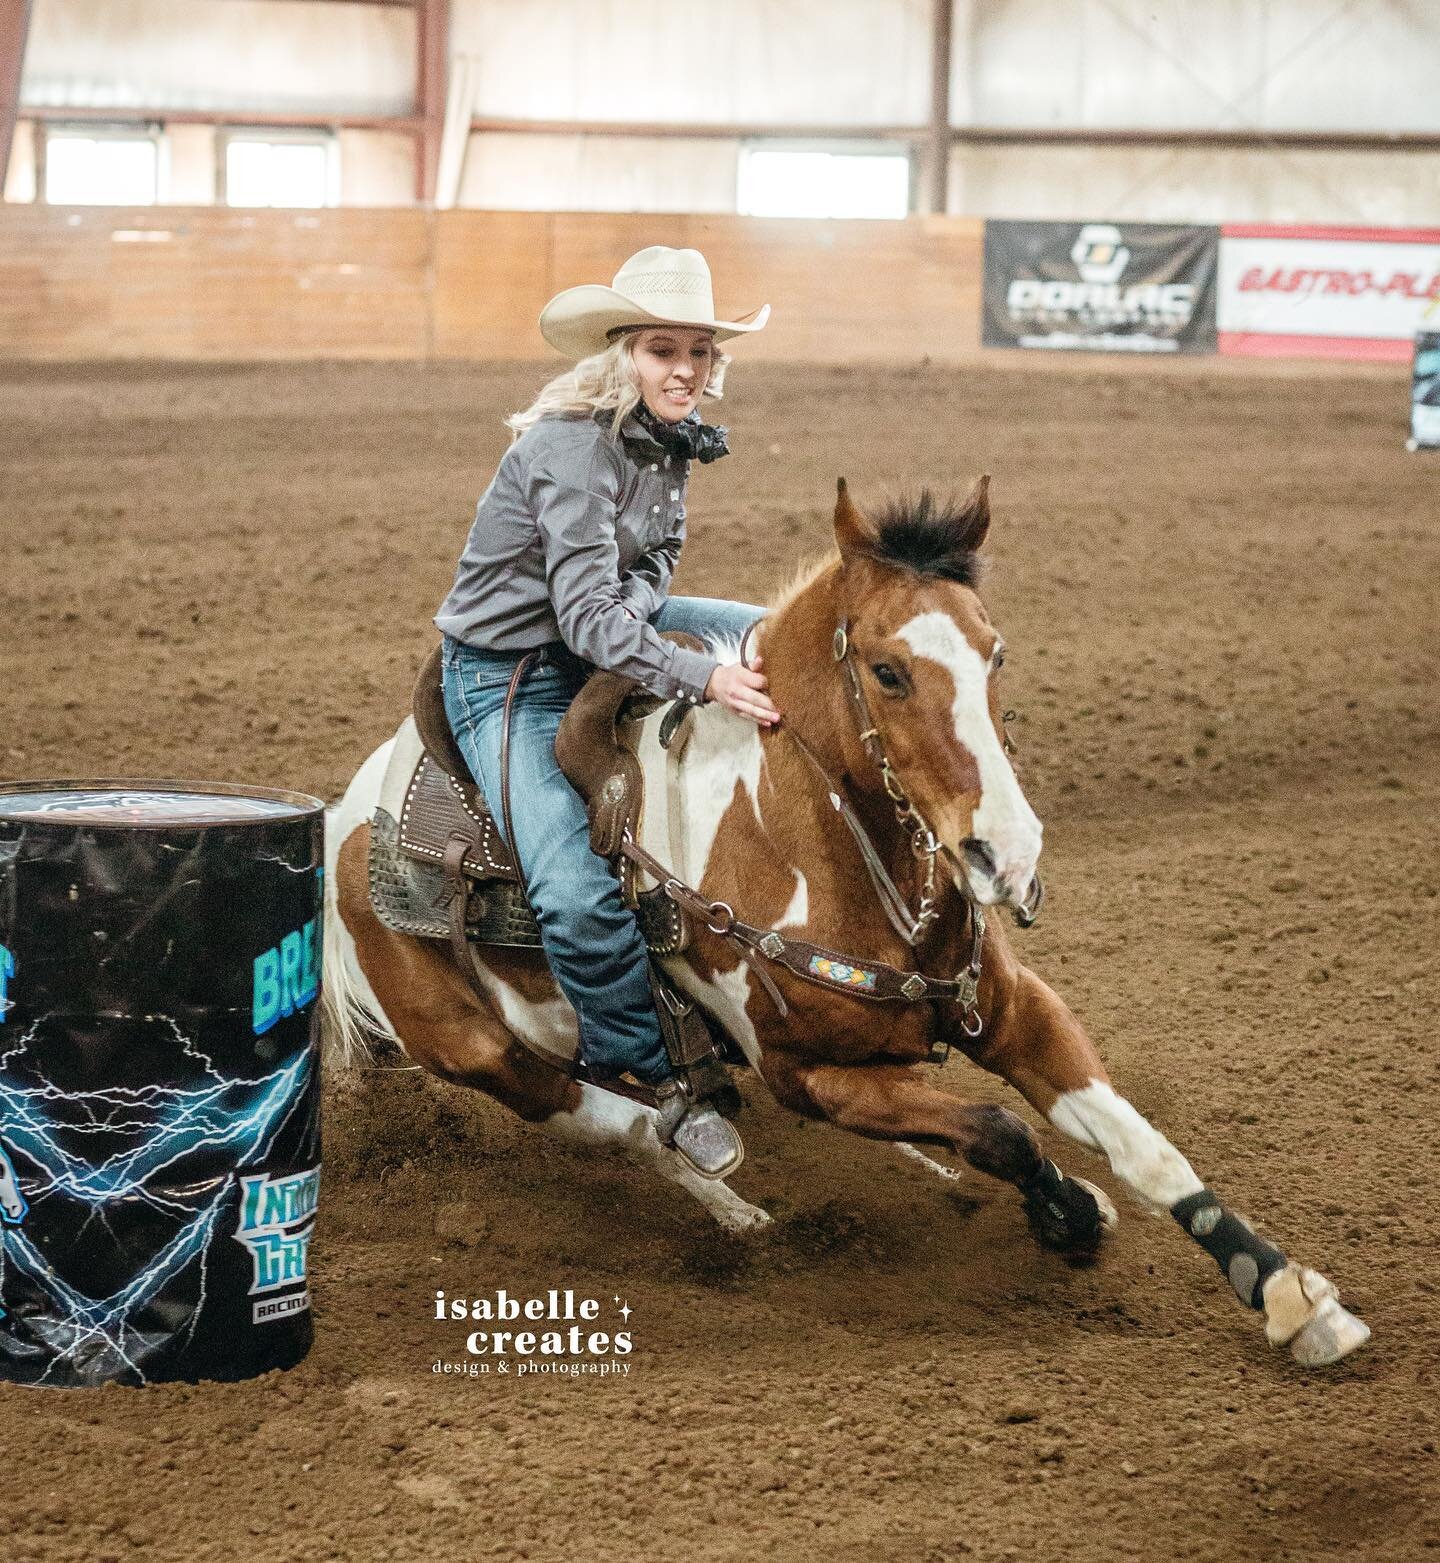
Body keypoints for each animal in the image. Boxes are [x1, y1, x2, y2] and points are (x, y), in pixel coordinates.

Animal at [325, 478, 1369, 1369]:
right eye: (888, 671)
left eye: (996, 652)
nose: (1007, 854)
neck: (805, 848)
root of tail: (346, 819)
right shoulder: (814, 1079)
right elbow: (1000, 1131)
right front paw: (1070, 1213)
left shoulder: (1012, 1005)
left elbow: (1143, 1147)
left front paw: (1291, 1296)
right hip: (486, 1059)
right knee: (629, 1125)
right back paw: (735, 1204)